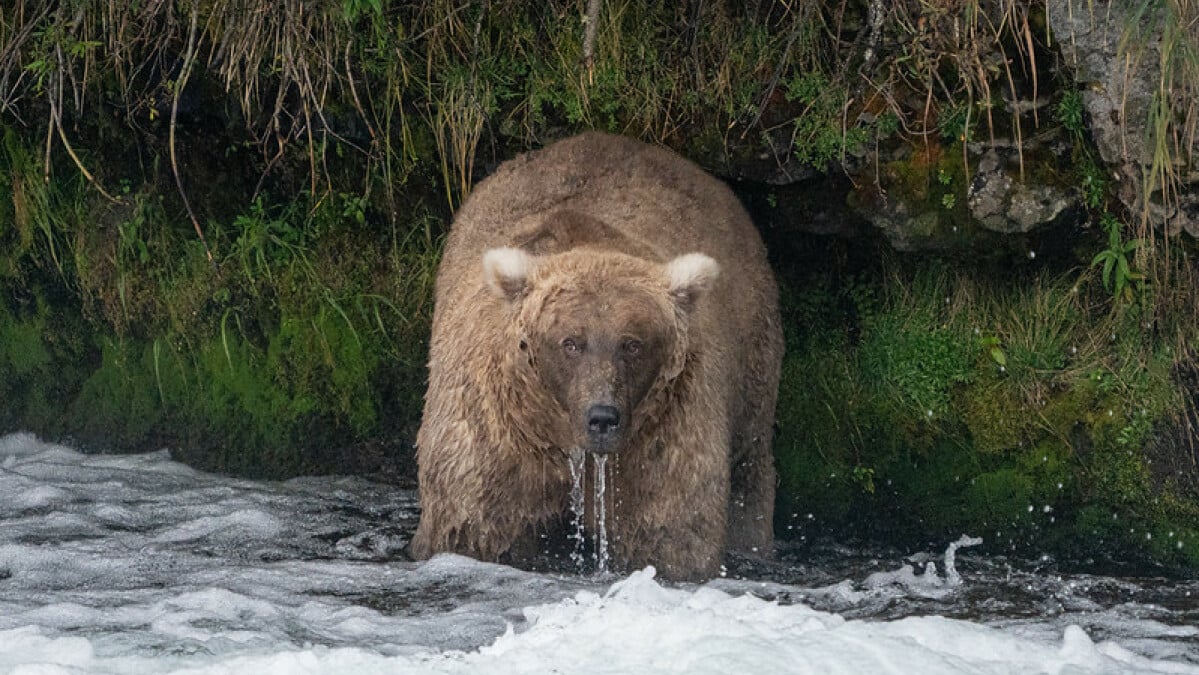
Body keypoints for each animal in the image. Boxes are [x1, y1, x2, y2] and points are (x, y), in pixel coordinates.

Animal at [410, 131, 786, 580]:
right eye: (571, 342)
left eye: (633, 343)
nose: (603, 417)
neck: (567, 443)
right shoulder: (495, 436)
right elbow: (471, 525)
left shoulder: (662, 437)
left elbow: (670, 532)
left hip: (752, 364)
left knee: (749, 469)